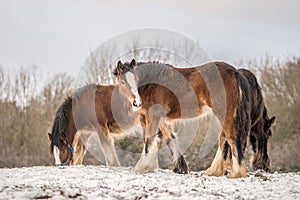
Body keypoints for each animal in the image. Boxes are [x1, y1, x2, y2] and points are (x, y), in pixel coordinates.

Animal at [135, 61, 276, 178]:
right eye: (268, 135)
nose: (264, 167)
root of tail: (235, 72)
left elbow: (150, 141)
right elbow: (168, 139)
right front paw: (180, 168)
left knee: (230, 139)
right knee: (226, 139)